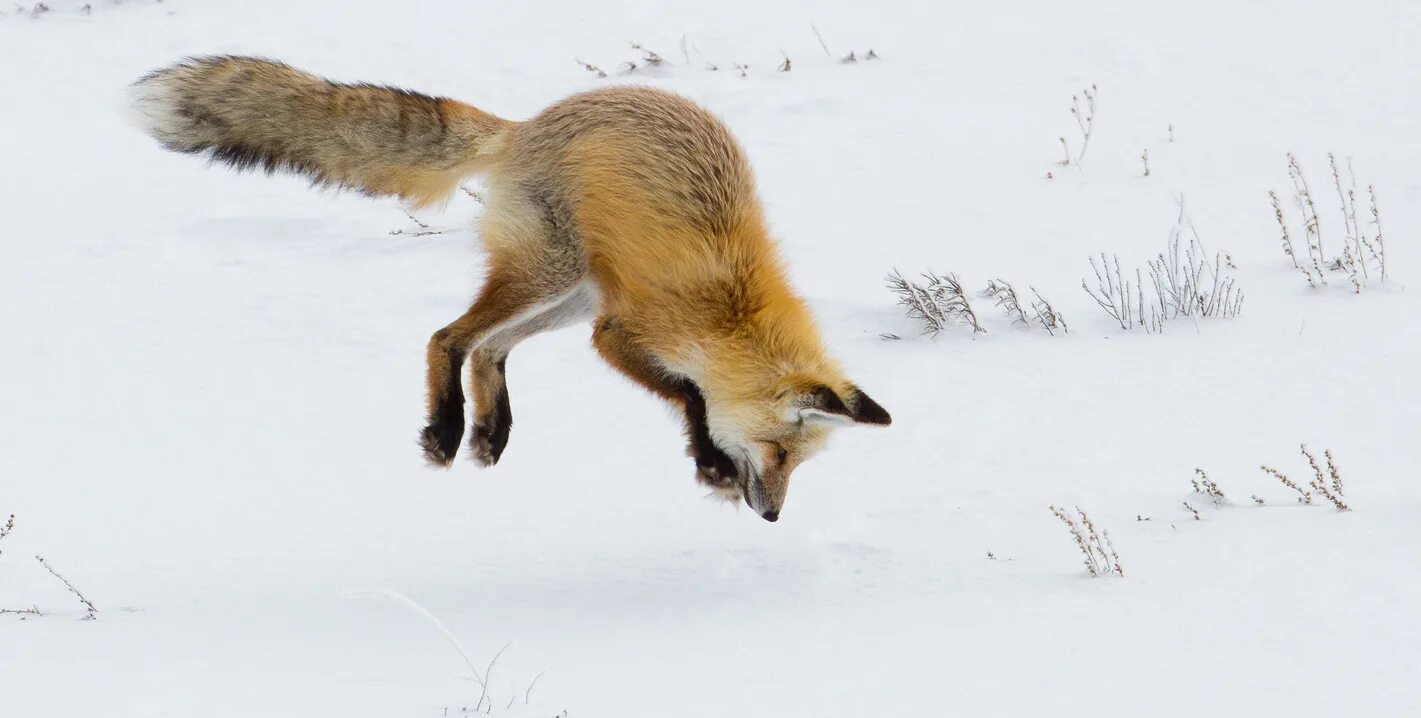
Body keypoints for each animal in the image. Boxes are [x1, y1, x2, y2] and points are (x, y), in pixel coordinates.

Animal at [130, 56, 886, 520]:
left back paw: (490, 433)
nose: (774, 514)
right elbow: (690, 396)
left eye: (800, 466)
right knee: (447, 337)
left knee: (491, 349)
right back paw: (445, 430)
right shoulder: (616, 334)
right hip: (550, 277)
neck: (729, 310)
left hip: (570, 295)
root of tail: (527, 126)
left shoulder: (609, 327)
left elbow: (692, 393)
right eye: (780, 454)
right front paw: (710, 462)